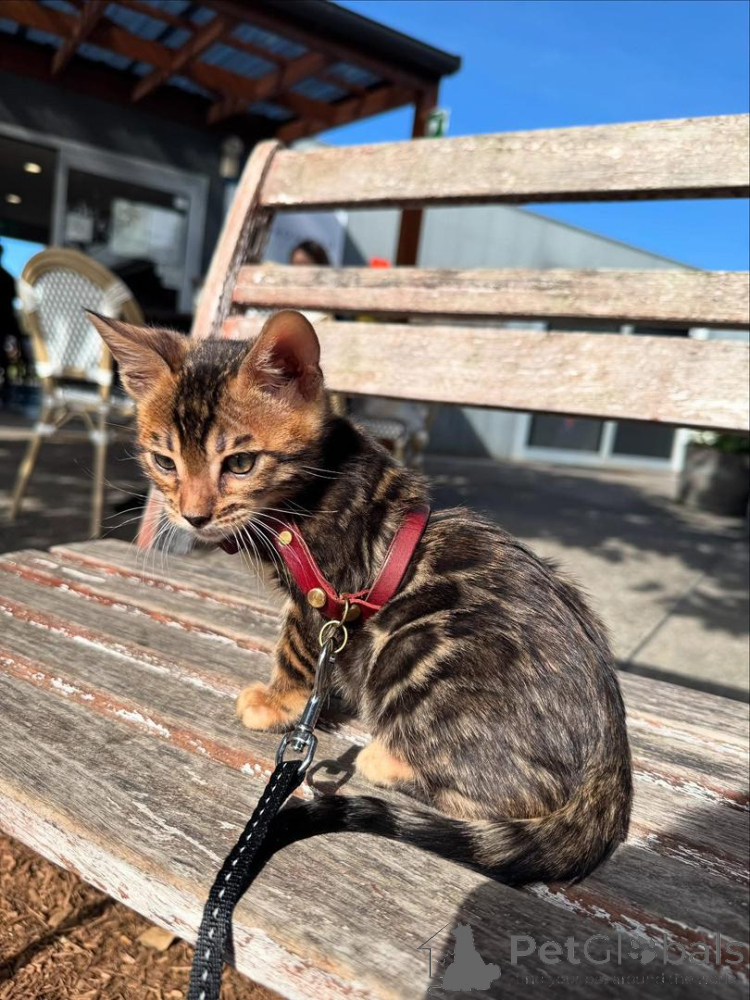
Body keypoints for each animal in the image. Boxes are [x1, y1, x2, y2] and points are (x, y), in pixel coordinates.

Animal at [90, 308, 632, 885]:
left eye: (240, 463)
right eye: (164, 462)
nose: (194, 516)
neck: (312, 484)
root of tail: (610, 765)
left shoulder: (323, 593)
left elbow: (295, 647)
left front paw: (277, 700)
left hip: (413, 647)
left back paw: (386, 759)